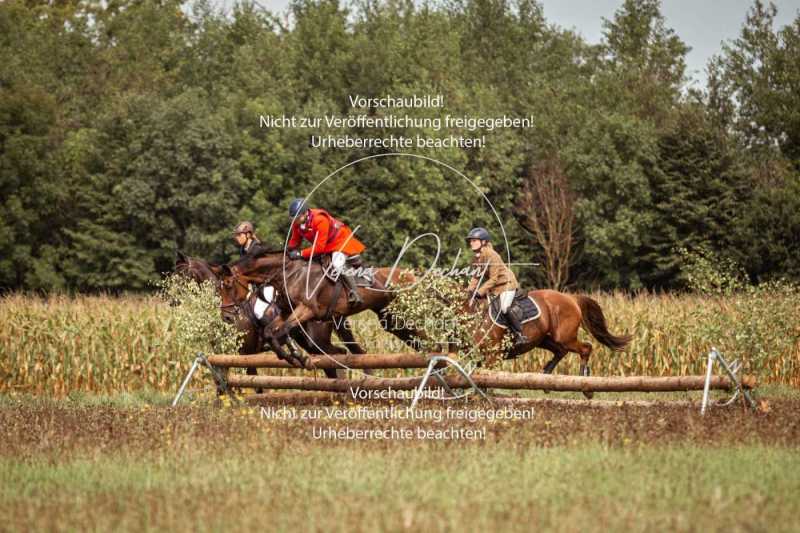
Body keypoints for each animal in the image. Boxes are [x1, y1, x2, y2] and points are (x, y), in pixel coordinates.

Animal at [468, 288, 632, 396]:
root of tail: (571, 298)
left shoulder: (493, 355)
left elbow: (486, 378)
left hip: (564, 337)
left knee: (585, 348)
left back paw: (583, 381)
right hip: (543, 339)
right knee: (561, 351)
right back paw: (546, 378)